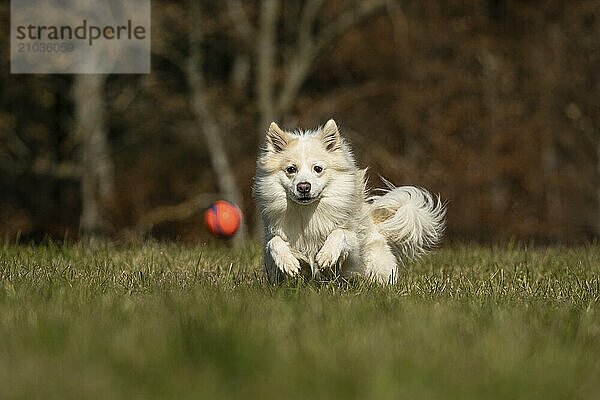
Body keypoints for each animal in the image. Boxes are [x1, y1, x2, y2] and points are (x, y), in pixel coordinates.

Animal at [251, 119, 442, 284]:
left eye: (318, 169)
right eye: (291, 169)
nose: (303, 187)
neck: (308, 212)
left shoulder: (353, 250)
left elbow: (340, 233)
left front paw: (326, 256)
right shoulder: (272, 241)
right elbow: (274, 242)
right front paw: (288, 263)